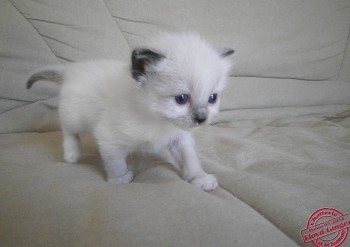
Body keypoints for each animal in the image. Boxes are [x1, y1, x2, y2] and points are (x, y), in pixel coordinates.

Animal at [27, 32, 234, 191]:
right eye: (181, 99)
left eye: (212, 98)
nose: (201, 119)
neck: (158, 120)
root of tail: (71, 69)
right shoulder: (108, 138)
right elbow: (115, 163)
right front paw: (119, 179)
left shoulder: (179, 138)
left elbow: (190, 160)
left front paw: (200, 178)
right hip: (74, 116)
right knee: (66, 128)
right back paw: (72, 153)